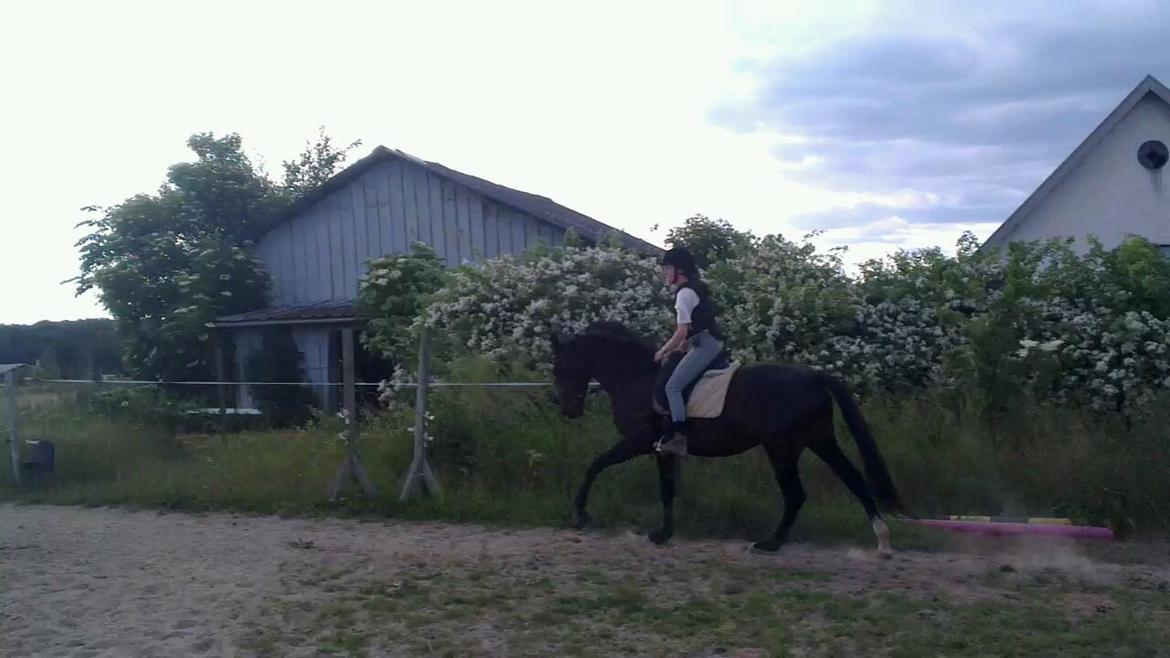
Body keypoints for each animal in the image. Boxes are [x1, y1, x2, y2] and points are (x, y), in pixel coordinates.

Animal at [547, 320, 903, 552]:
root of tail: (815, 376)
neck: (636, 377)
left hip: (782, 448)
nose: (567, 409)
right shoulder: (663, 450)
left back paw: (770, 543)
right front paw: (664, 534)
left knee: (796, 494)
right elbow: (667, 489)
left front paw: (581, 515)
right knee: (852, 478)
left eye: (559, 367)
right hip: (819, 441)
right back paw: (883, 540)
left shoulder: (638, 442)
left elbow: (596, 465)